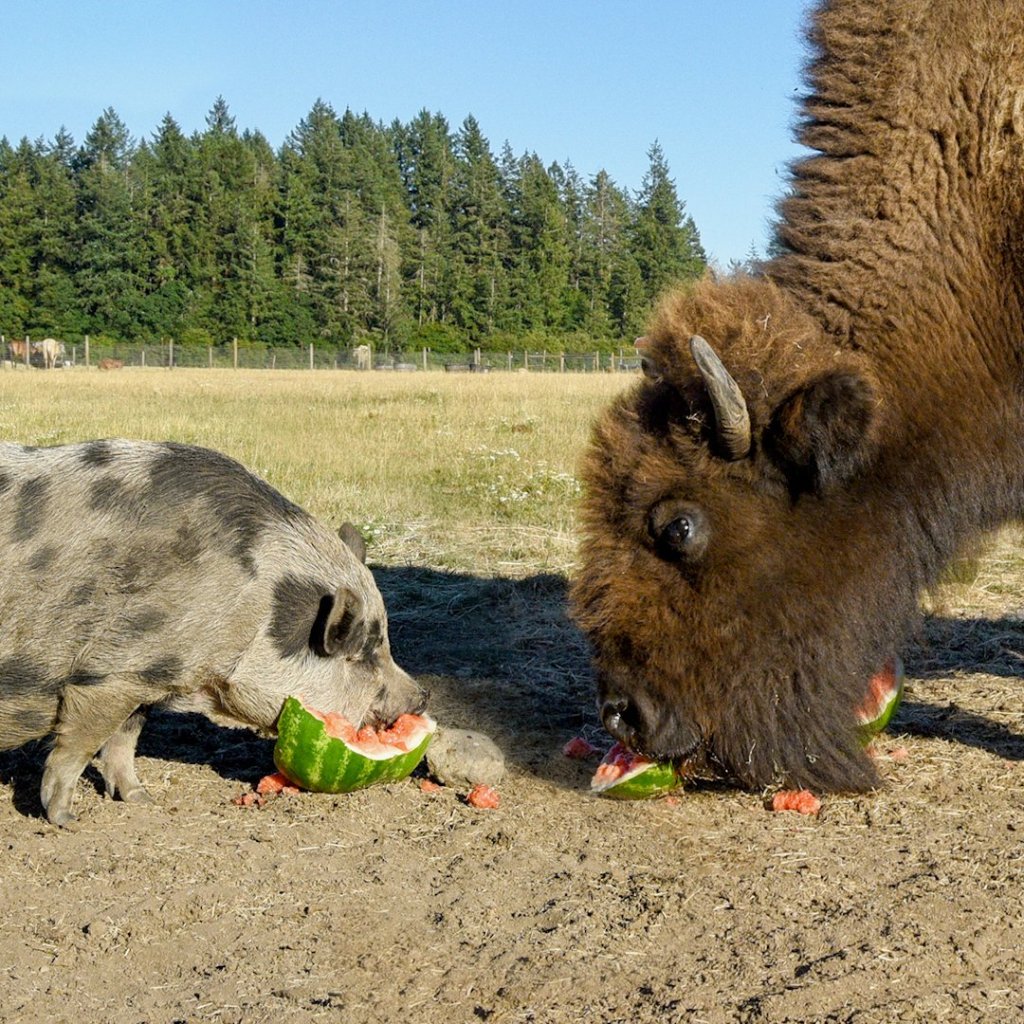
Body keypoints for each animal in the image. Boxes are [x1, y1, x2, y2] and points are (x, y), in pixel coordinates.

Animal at [0, 439, 423, 825]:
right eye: (365, 651)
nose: (421, 697)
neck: (251, 610)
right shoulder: (112, 672)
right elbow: (81, 744)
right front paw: (66, 820)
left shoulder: (147, 679)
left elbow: (125, 739)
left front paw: (142, 800)